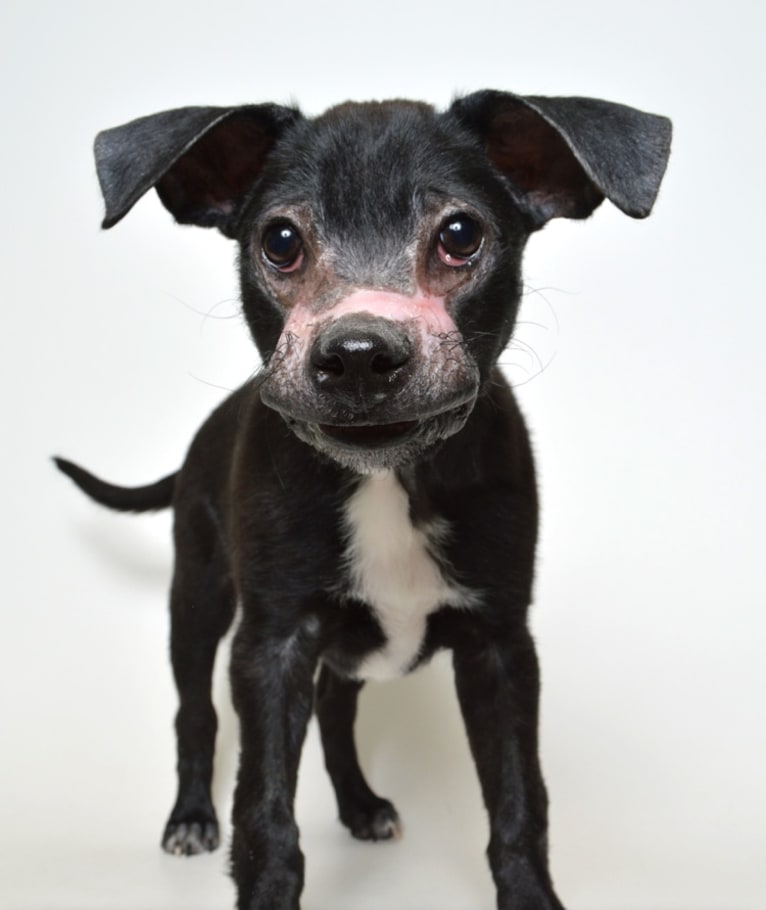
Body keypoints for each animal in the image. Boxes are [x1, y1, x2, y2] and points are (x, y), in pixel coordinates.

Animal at [57, 94, 672, 910]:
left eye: (460, 235)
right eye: (281, 240)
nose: (357, 354)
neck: (386, 477)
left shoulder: (502, 645)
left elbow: (520, 800)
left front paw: (532, 895)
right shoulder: (272, 645)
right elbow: (264, 810)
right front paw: (263, 884)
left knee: (335, 712)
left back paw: (358, 805)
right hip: (196, 599)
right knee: (195, 712)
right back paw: (190, 817)